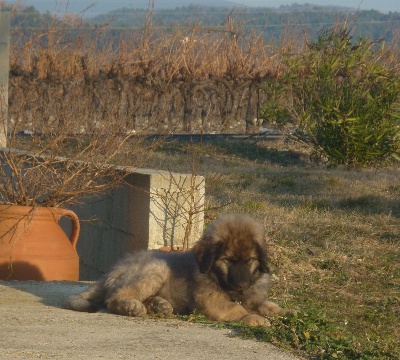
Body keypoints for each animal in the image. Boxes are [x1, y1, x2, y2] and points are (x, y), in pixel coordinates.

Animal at [65, 214, 288, 326]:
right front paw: (254, 318)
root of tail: (114, 269)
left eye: (250, 260)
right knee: (111, 298)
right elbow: (236, 308)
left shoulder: (253, 297)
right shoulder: (212, 301)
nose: (242, 284)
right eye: (227, 260)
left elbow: (267, 305)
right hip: (156, 270)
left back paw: (159, 305)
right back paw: (132, 306)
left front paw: (285, 312)